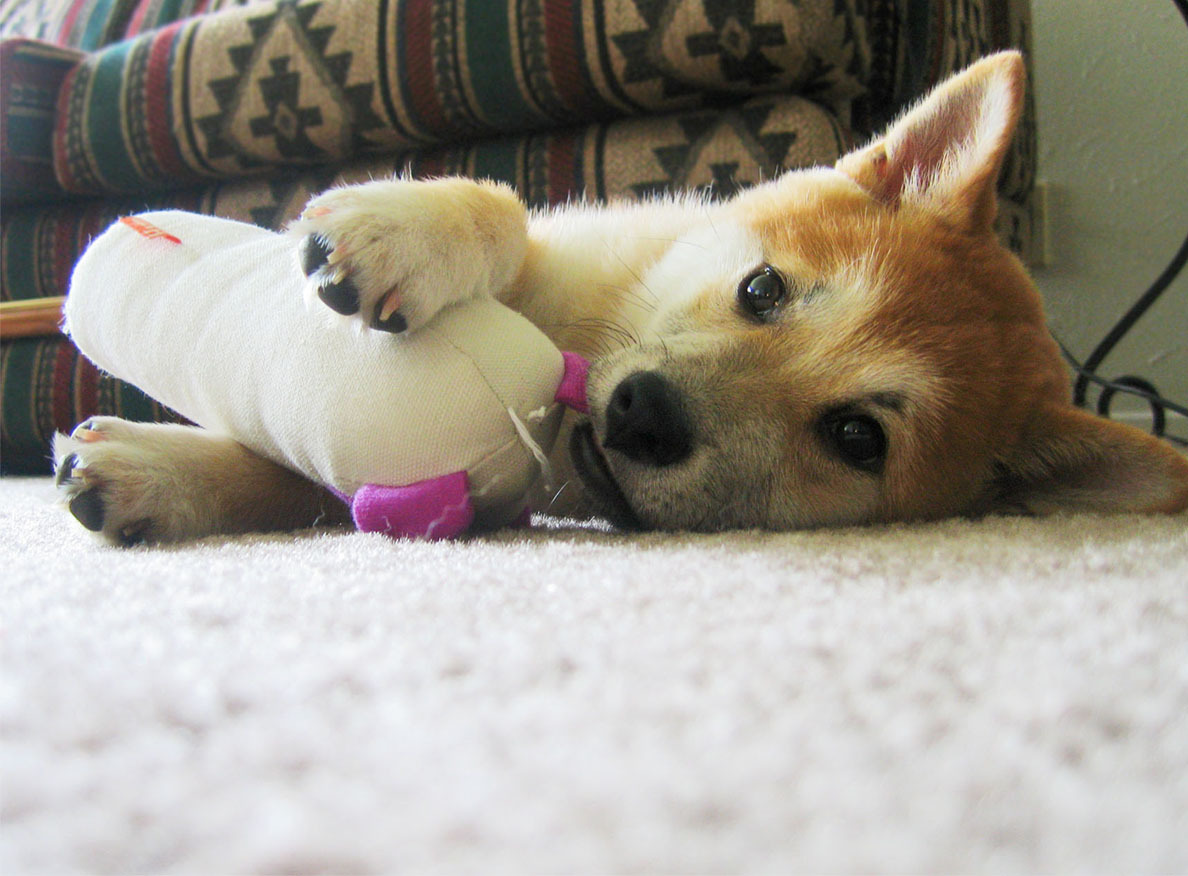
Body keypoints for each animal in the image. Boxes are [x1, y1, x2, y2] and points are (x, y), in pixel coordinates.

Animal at [53, 51, 1188, 544]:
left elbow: (305, 480)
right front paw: (403, 230)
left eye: (858, 437)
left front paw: (156, 476)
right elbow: (505, 211)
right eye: (761, 289)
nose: (646, 413)